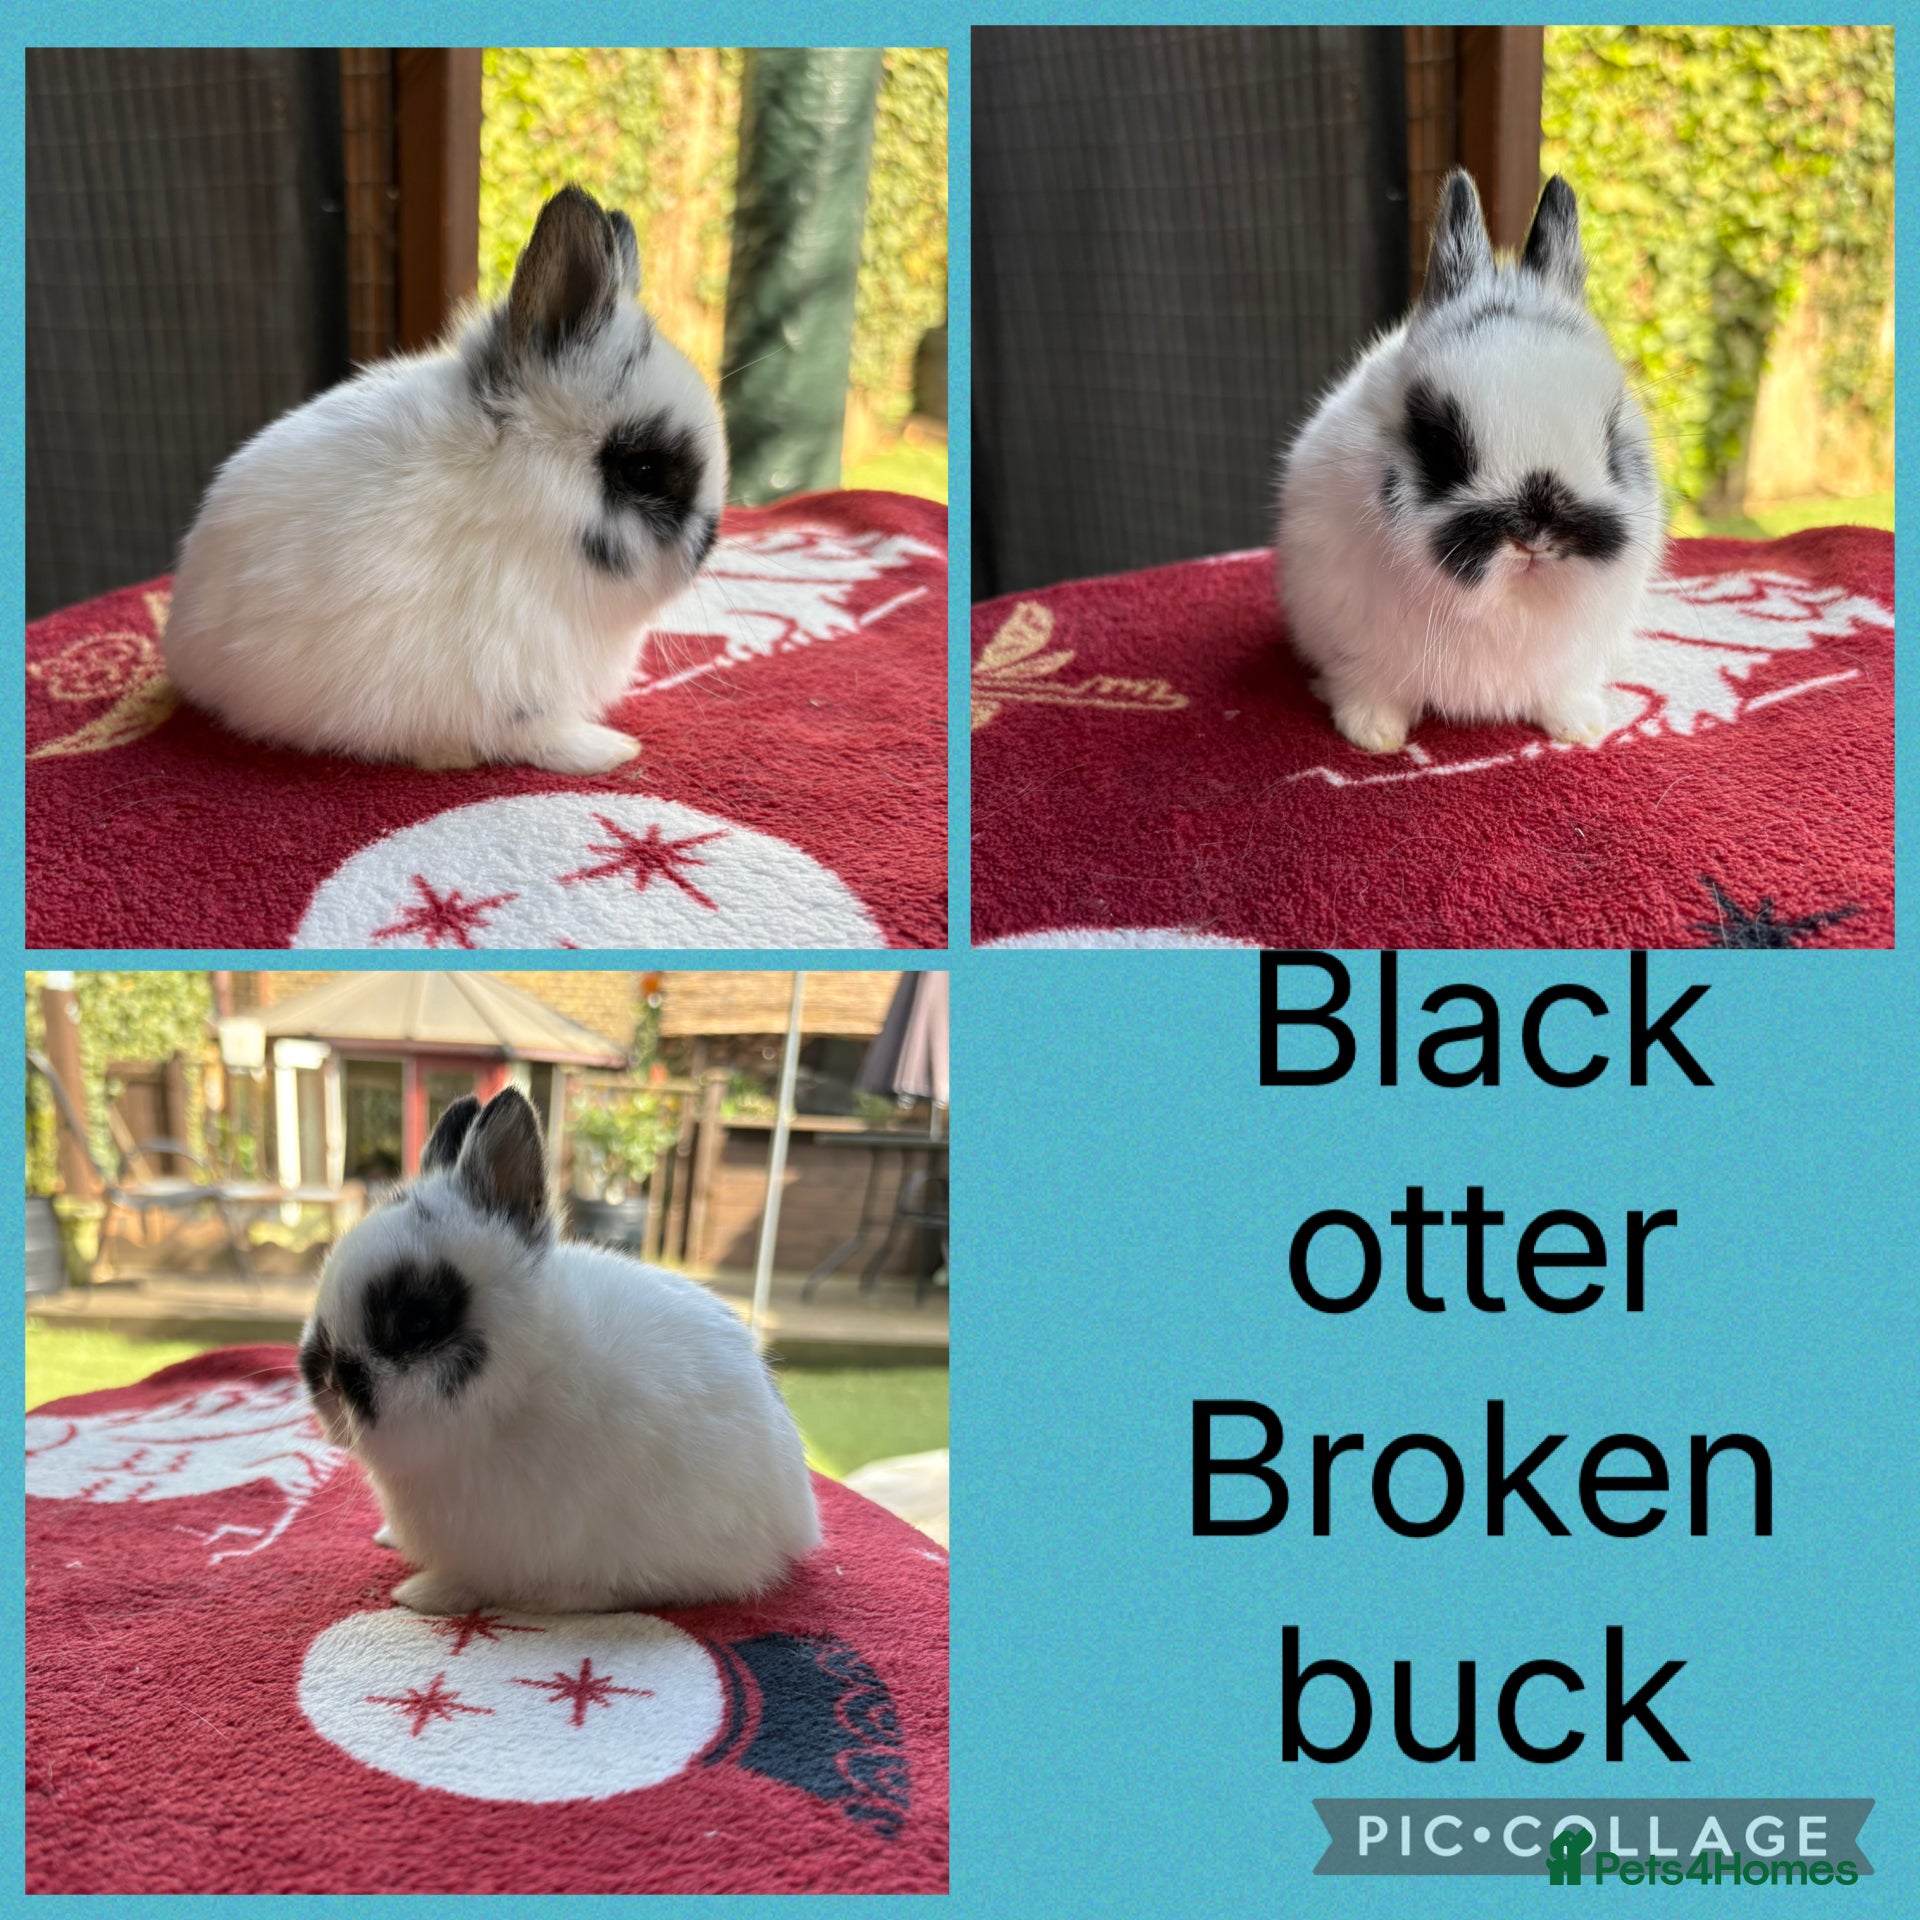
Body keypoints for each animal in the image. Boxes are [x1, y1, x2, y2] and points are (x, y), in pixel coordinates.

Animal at [163, 185, 727, 775]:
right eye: (641, 470)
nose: (710, 541)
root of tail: (180, 645)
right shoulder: (515, 676)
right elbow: (538, 735)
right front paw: (609, 751)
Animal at [298, 1086, 820, 1614]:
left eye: (417, 1321)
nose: (323, 1381)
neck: (521, 1389)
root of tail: (796, 1520)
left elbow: (473, 1583)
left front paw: (421, 1595)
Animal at [1276, 170, 1664, 755]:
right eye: (1438, 441)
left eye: (1611, 430)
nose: (1536, 537)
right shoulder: (1347, 633)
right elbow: (1363, 684)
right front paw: (1374, 735)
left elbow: (1565, 690)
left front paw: (1580, 727)